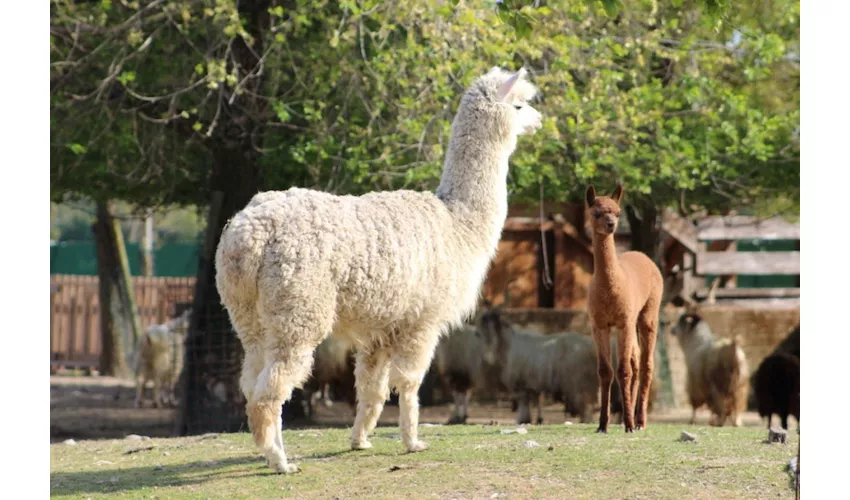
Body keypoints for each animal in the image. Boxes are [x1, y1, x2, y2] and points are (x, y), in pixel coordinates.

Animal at [215, 66, 540, 472]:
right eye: (519, 105)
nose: (539, 121)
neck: (458, 221)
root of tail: (249, 233)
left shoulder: (382, 327)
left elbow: (371, 387)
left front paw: (360, 440)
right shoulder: (422, 320)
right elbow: (410, 383)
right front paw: (413, 442)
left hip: (248, 315)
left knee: (250, 380)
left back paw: (269, 450)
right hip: (299, 308)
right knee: (271, 387)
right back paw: (280, 461)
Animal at [584, 185, 664, 434]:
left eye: (618, 213)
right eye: (596, 213)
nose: (611, 224)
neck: (610, 288)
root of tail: (643, 255)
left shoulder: (623, 322)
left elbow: (623, 371)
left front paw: (628, 424)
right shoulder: (599, 324)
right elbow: (605, 371)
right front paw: (602, 425)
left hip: (648, 313)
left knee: (646, 365)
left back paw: (639, 421)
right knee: (636, 359)